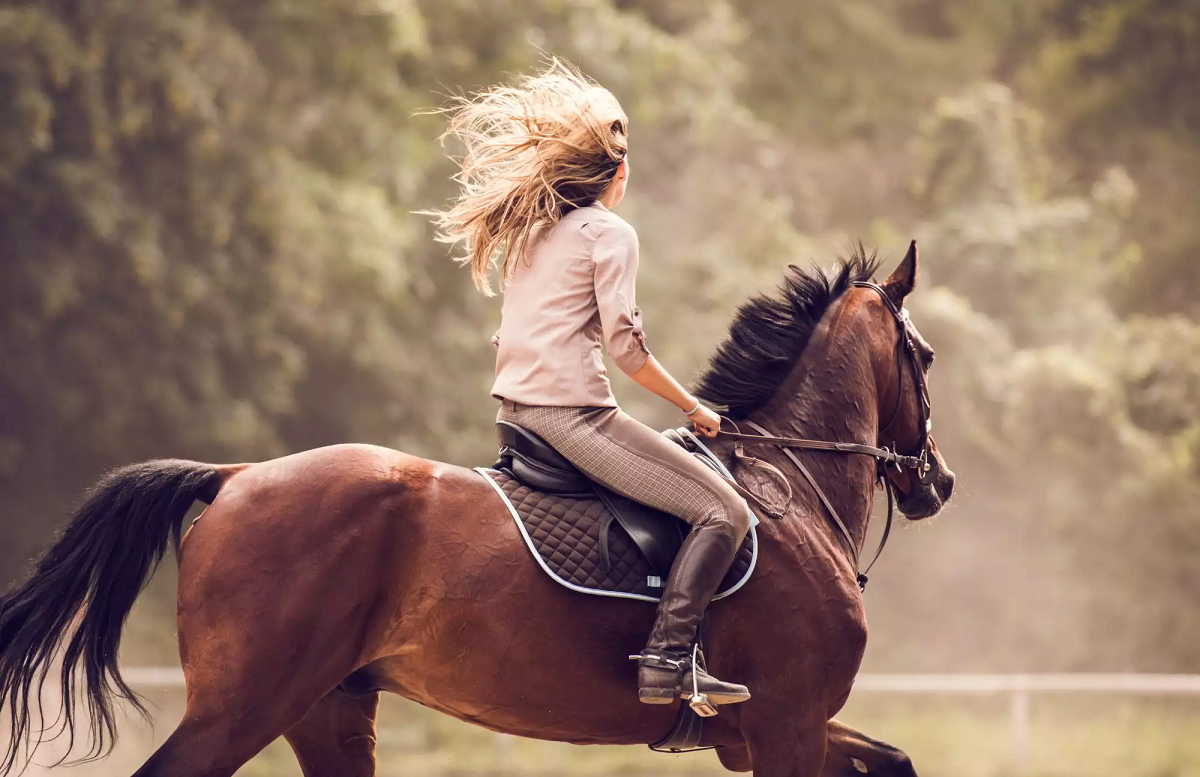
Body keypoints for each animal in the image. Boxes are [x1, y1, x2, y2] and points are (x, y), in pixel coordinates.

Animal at [0, 239, 955, 772]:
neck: (786, 481)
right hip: (246, 706)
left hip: (329, 709)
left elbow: (900, 759)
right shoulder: (787, 723)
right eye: (927, 357)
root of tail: (236, 475)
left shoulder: (760, 732)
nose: (937, 481)